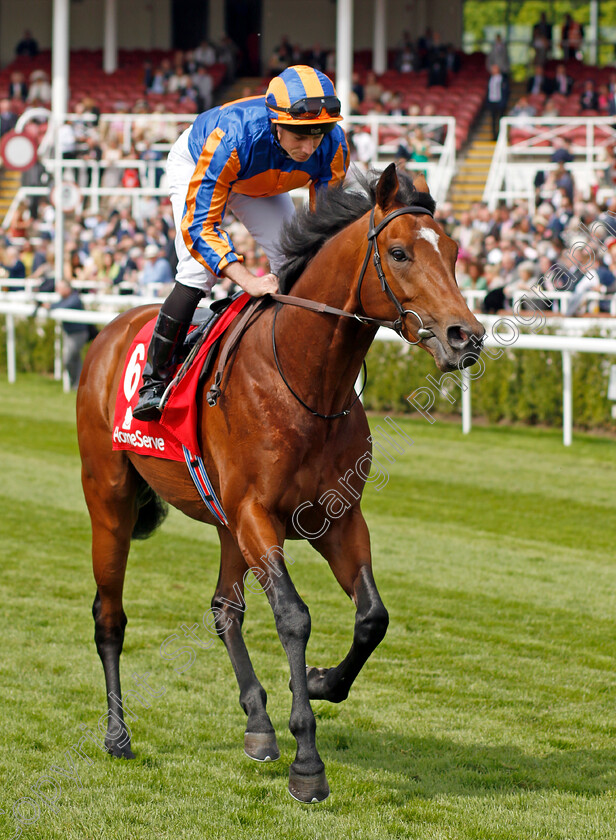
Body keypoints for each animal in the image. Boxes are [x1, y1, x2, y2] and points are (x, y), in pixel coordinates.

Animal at [76, 164, 482, 800]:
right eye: (399, 253)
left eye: (455, 252)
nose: (466, 335)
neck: (308, 382)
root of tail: (110, 330)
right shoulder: (257, 515)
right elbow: (294, 617)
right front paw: (307, 762)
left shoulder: (336, 517)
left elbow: (373, 617)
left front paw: (318, 682)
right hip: (110, 499)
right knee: (109, 616)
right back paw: (118, 735)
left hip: (223, 521)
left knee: (224, 608)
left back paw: (258, 725)